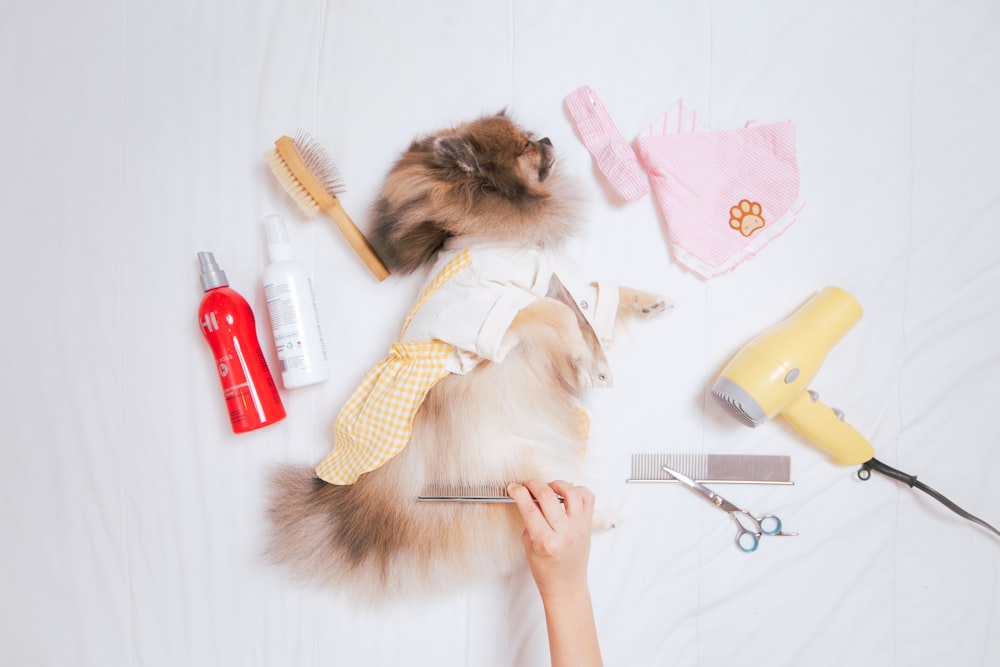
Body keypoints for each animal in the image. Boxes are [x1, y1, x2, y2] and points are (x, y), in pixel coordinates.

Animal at [270, 111, 668, 604]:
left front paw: (645, 303)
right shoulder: (496, 313)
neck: (496, 235)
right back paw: (596, 518)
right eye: (525, 148)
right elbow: (560, 314)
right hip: (507, 470)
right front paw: (581, 354)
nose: (547, 138)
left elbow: (593, 295)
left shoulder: (548, 292)